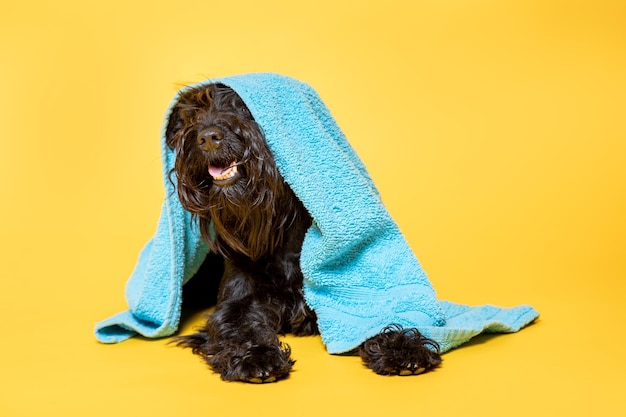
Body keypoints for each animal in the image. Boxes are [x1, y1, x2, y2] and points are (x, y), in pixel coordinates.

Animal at [166, 83, 438, 382]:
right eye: (193, 114)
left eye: (245, 107)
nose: (207, 138)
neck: (277, 229)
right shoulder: (235, 303)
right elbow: (236, 328)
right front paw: (256, 356)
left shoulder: (345, 298)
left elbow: (368, 318)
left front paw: (403, 347)